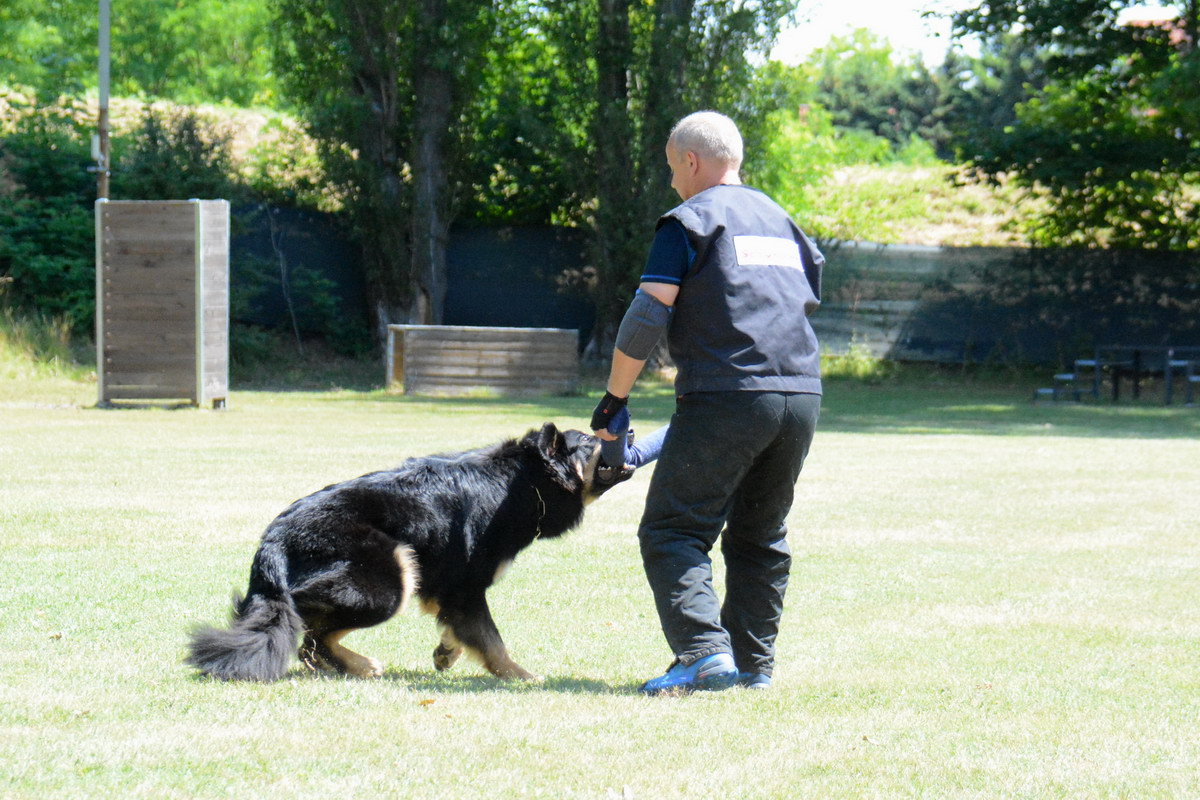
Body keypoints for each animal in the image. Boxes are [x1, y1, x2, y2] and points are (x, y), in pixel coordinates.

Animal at [184, 424, 628, 681]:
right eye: (593, 442)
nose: (632, 432)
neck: (526, 481)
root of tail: (274, 540)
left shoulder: (448, 589)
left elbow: (462, 629)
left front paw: (447, 652)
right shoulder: (466, 587)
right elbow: (492, 639)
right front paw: (520, 676)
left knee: (309, 634)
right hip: (389, 579)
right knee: (309, 628)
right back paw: (360, 665)